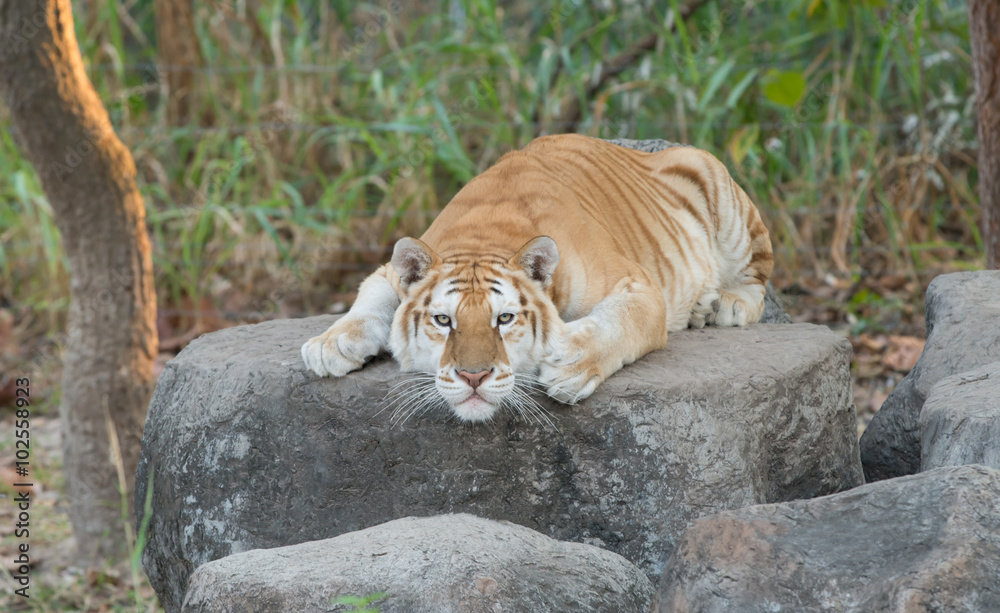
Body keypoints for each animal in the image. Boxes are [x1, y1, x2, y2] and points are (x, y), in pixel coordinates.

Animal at [300, 133, 776, 420]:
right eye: (444, 320)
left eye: (505, 318)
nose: (473, 377)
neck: (483, 236)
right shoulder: (389, 272)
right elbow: (369, 299)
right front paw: (330, 344)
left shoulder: (638, 284)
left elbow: (622, 321)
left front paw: (570, 363)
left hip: (716, 180)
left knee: (758, 279)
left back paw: (723, 305)